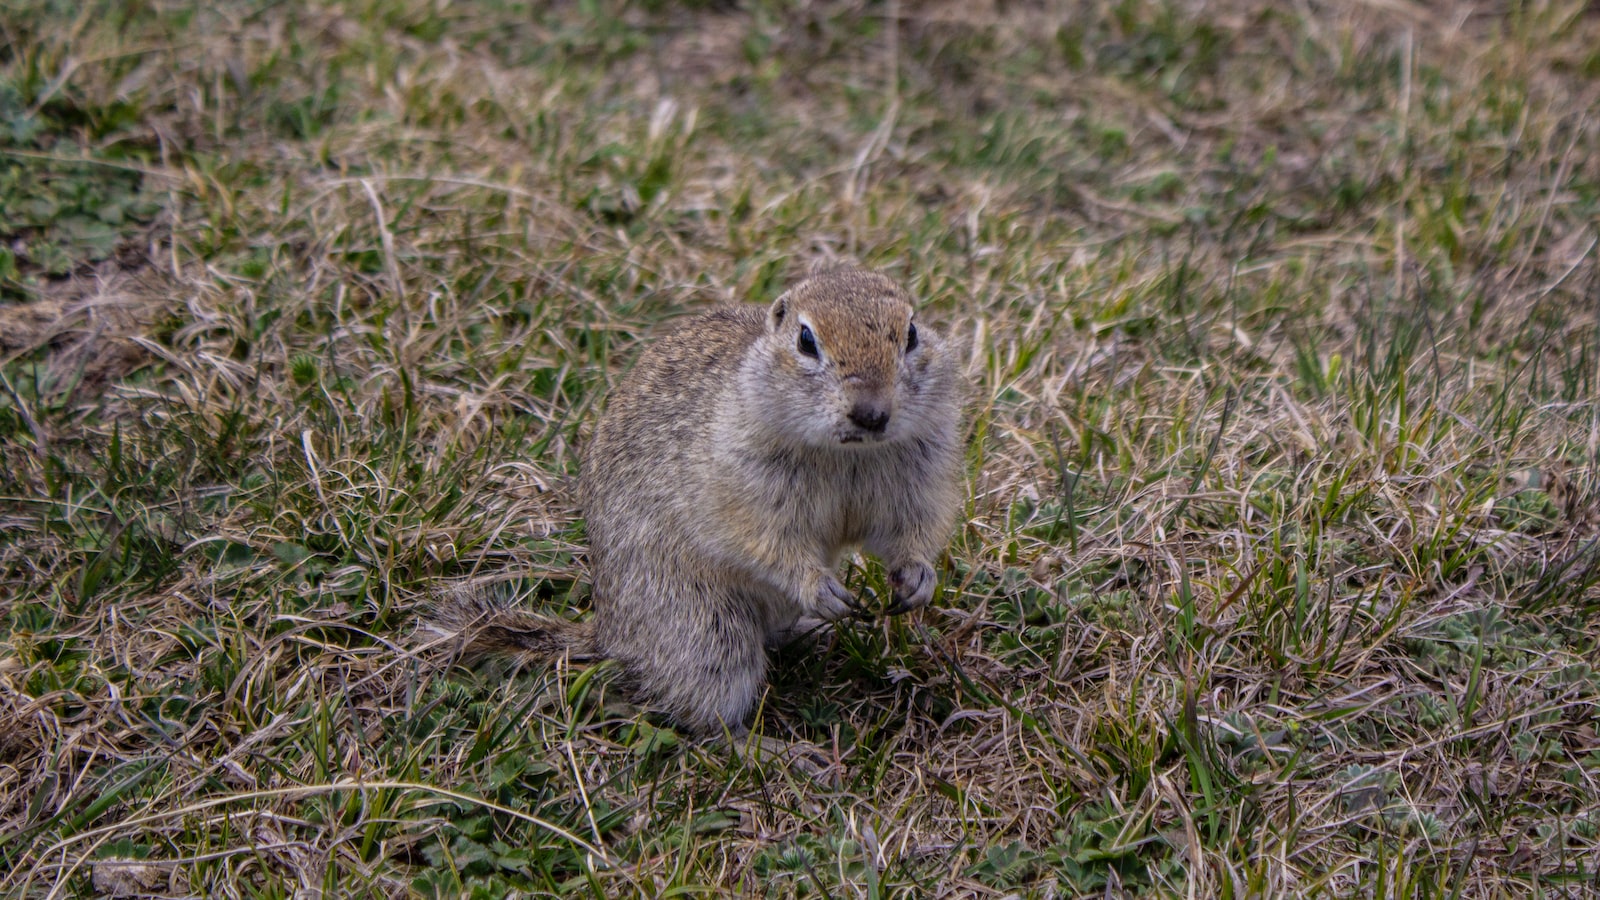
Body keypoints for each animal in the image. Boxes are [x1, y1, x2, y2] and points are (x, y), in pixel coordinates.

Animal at [438, 265, 960, 736]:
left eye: (912, 333)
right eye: (806, 341)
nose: (871, 414)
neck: (848, 453)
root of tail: (610, 636)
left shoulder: (920, 475)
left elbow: (910, 530)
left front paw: (918, 577)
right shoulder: (744, 491)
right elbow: (770, 544)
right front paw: (820, 588)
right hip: (705, 630)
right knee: (707, 717)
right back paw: (772, 747)